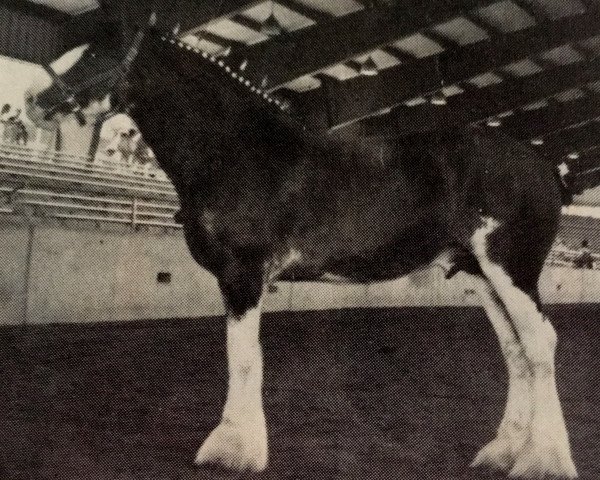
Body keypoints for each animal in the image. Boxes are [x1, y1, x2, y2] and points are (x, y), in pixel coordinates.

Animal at [27, 16, 576, 478]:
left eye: (98, 53)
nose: (34, 100)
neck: (242, 152)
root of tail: (544, 165)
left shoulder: (244, 273)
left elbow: (244, 357)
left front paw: (234, 450)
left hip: (512, 269)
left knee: (541, 345)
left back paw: (543, 461)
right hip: (481, 275)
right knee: (516, 352)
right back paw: (502, 453)